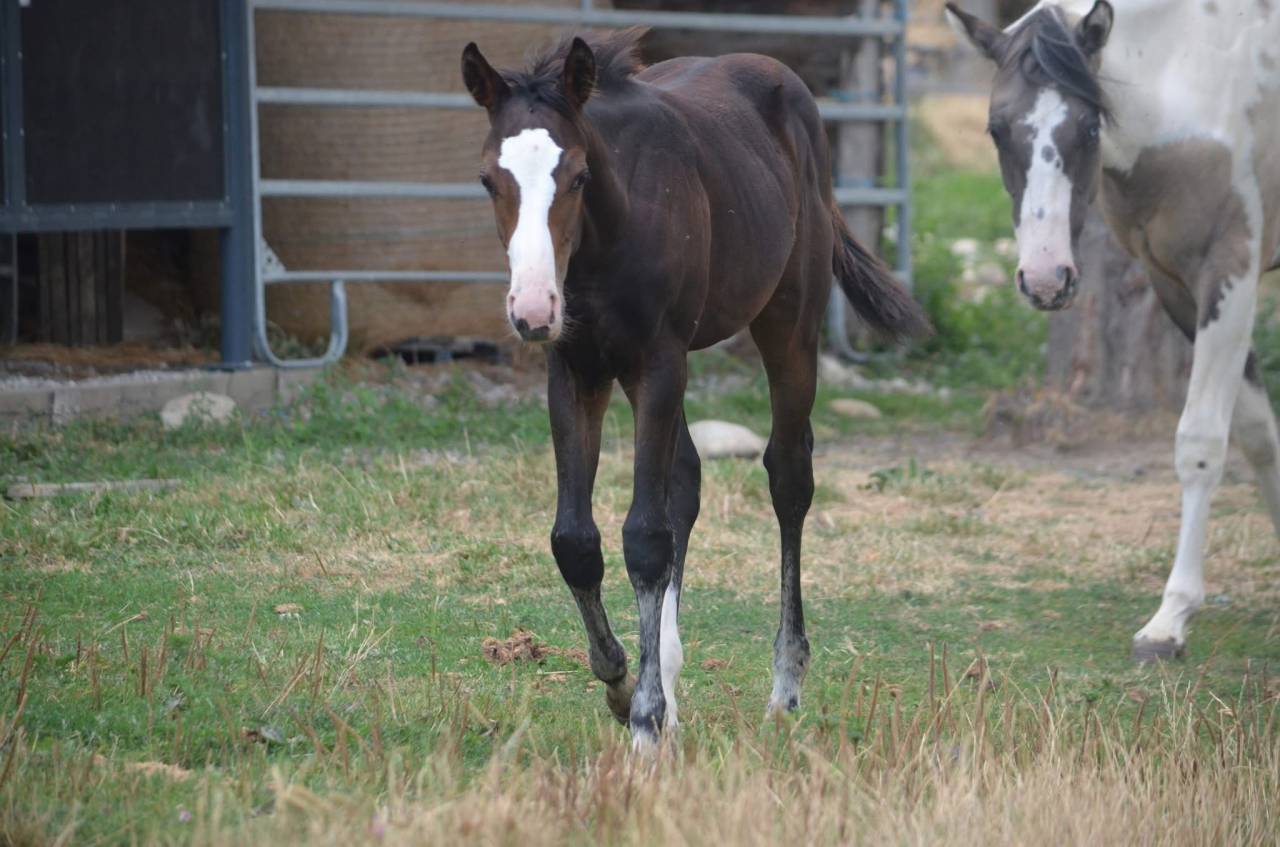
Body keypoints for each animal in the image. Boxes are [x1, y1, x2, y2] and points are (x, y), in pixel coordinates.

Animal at [461, 29, 929, 748]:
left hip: (787, 324)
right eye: (490, 179)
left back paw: (784, 688)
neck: (608, 239)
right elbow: (577, 540)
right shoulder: (576, 369)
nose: (534, 309)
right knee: (686, 480)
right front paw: (623, 684)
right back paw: (672, 679)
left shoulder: (658, 361)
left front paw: (645, 720)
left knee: (788, 476)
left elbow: (645, 536)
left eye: (579, 176)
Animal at [946, 0, 1280, 660]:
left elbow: (1201, 442)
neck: (1192, 79)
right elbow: (1259, 436)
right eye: (997, 129)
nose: (1046, 278)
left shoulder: (1228, 274)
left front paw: (1170, 621)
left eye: (1089, 128)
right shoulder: (1172, 284)